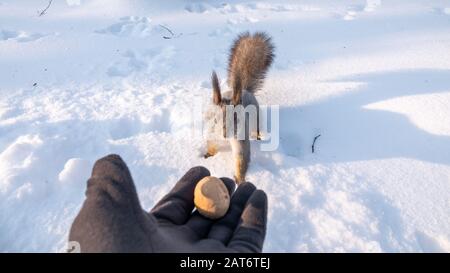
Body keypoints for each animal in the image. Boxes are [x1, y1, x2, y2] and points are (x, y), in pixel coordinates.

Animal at [204, 31, 274, 184]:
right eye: (215, 120)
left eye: (236, 119)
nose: (225, 135)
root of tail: (245, 91)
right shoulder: (211, 133)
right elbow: (211, 144)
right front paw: (208, 155)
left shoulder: (240, 138)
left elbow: (241, 158)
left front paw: (240, 179)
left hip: (255, 121)